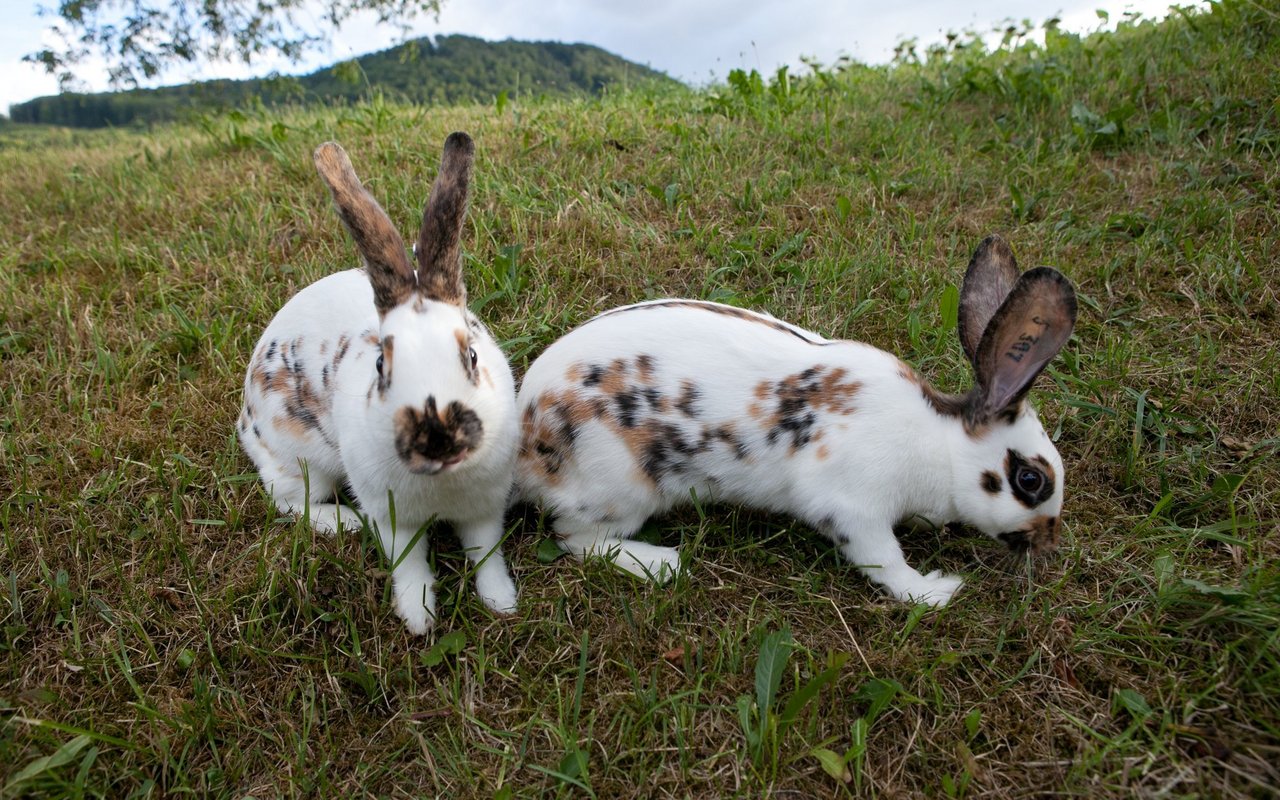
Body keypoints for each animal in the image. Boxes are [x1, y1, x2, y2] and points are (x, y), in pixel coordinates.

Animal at [238, 134, 517, 632]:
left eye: (471, 354)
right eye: (381, 366)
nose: (437, 439)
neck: (443, 484)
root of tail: (245, 420)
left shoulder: (485, 508)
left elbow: (486, 555)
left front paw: (501, 602)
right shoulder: (393, 520)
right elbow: (409, 564)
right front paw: (419, 617)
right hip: (301, 464)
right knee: (286, 501)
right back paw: (344, 522)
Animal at [514, 235, 1075, 604]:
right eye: (1030, 480)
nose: (1049, 542)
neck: (939, 446)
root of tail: (525, 439)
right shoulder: (853, 507)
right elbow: (885, 561)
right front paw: (935, 591)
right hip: (621, 488)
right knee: (576, 539)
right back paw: (663, 563)